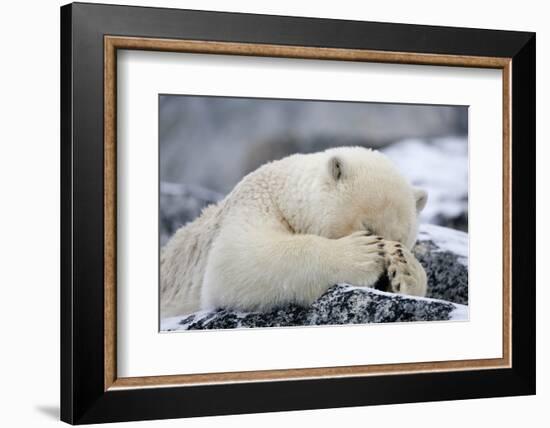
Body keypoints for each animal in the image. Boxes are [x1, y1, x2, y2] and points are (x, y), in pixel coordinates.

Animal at [162, 147, 430, 318]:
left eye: (400, 238)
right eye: (369, 228)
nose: (384, 279)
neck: (281, 190)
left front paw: (406, 269)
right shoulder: (253, 204)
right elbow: (236, 260)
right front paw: (362, 253)